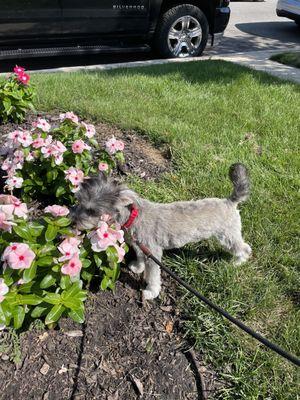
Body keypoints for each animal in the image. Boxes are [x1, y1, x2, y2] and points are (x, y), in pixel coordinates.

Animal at [74, 163, 252, 300]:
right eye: (79, 201)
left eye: (92, 211)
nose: (73, 221)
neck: (133, 217)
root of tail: (229, 202)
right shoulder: (141, 247)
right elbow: (140, 258)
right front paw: (137, 268)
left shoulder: (154, 253)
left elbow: (153, 276)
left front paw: (150, 292)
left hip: (228, 236)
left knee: (244, 248)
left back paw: (238, 262)